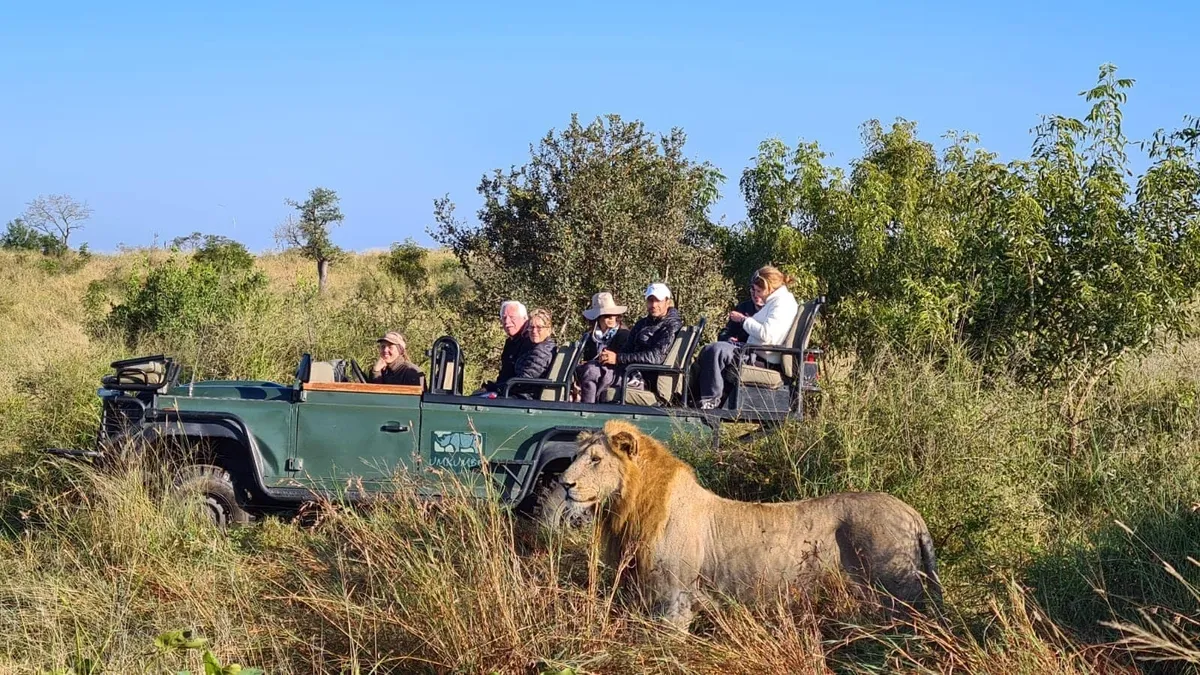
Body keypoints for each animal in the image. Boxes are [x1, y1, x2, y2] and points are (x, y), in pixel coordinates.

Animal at [557, 420, 942, 628]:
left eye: (595, 459)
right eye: (574, 457)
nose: (563, 482)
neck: (630, 509)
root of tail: (912, 513)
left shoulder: (675, 601)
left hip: (898, 594)